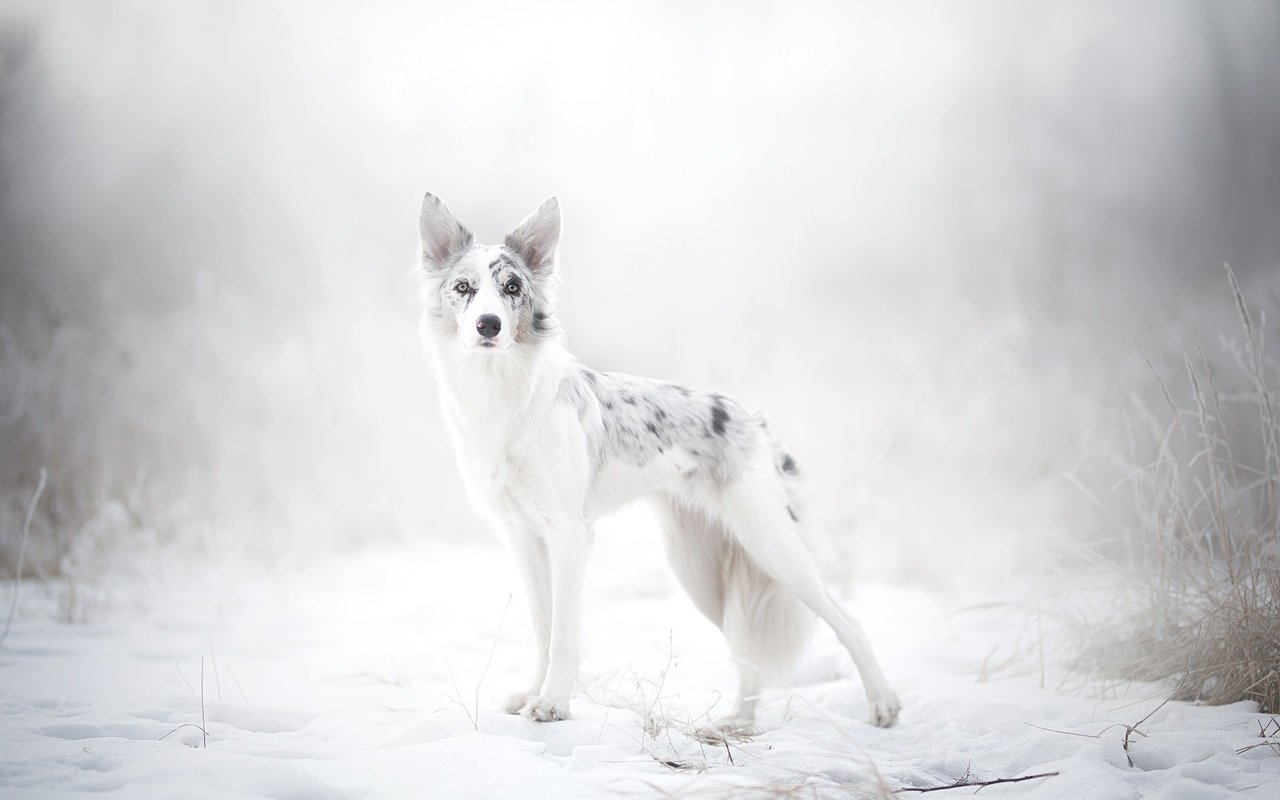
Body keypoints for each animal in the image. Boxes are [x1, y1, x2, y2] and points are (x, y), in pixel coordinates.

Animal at [419, 193, 901, 732]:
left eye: (512, 288)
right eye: (463, 288)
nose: (489, 325)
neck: (501, 393)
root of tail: (754, 422)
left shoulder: (569, 534)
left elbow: (563, 632)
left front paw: (553, 703)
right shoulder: (522, 537)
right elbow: (543, 627)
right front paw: (532, 693)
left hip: (772, 546)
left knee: (848, 621)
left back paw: (883, 703)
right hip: (700, 570)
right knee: (746, 647)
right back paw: (738, 721)